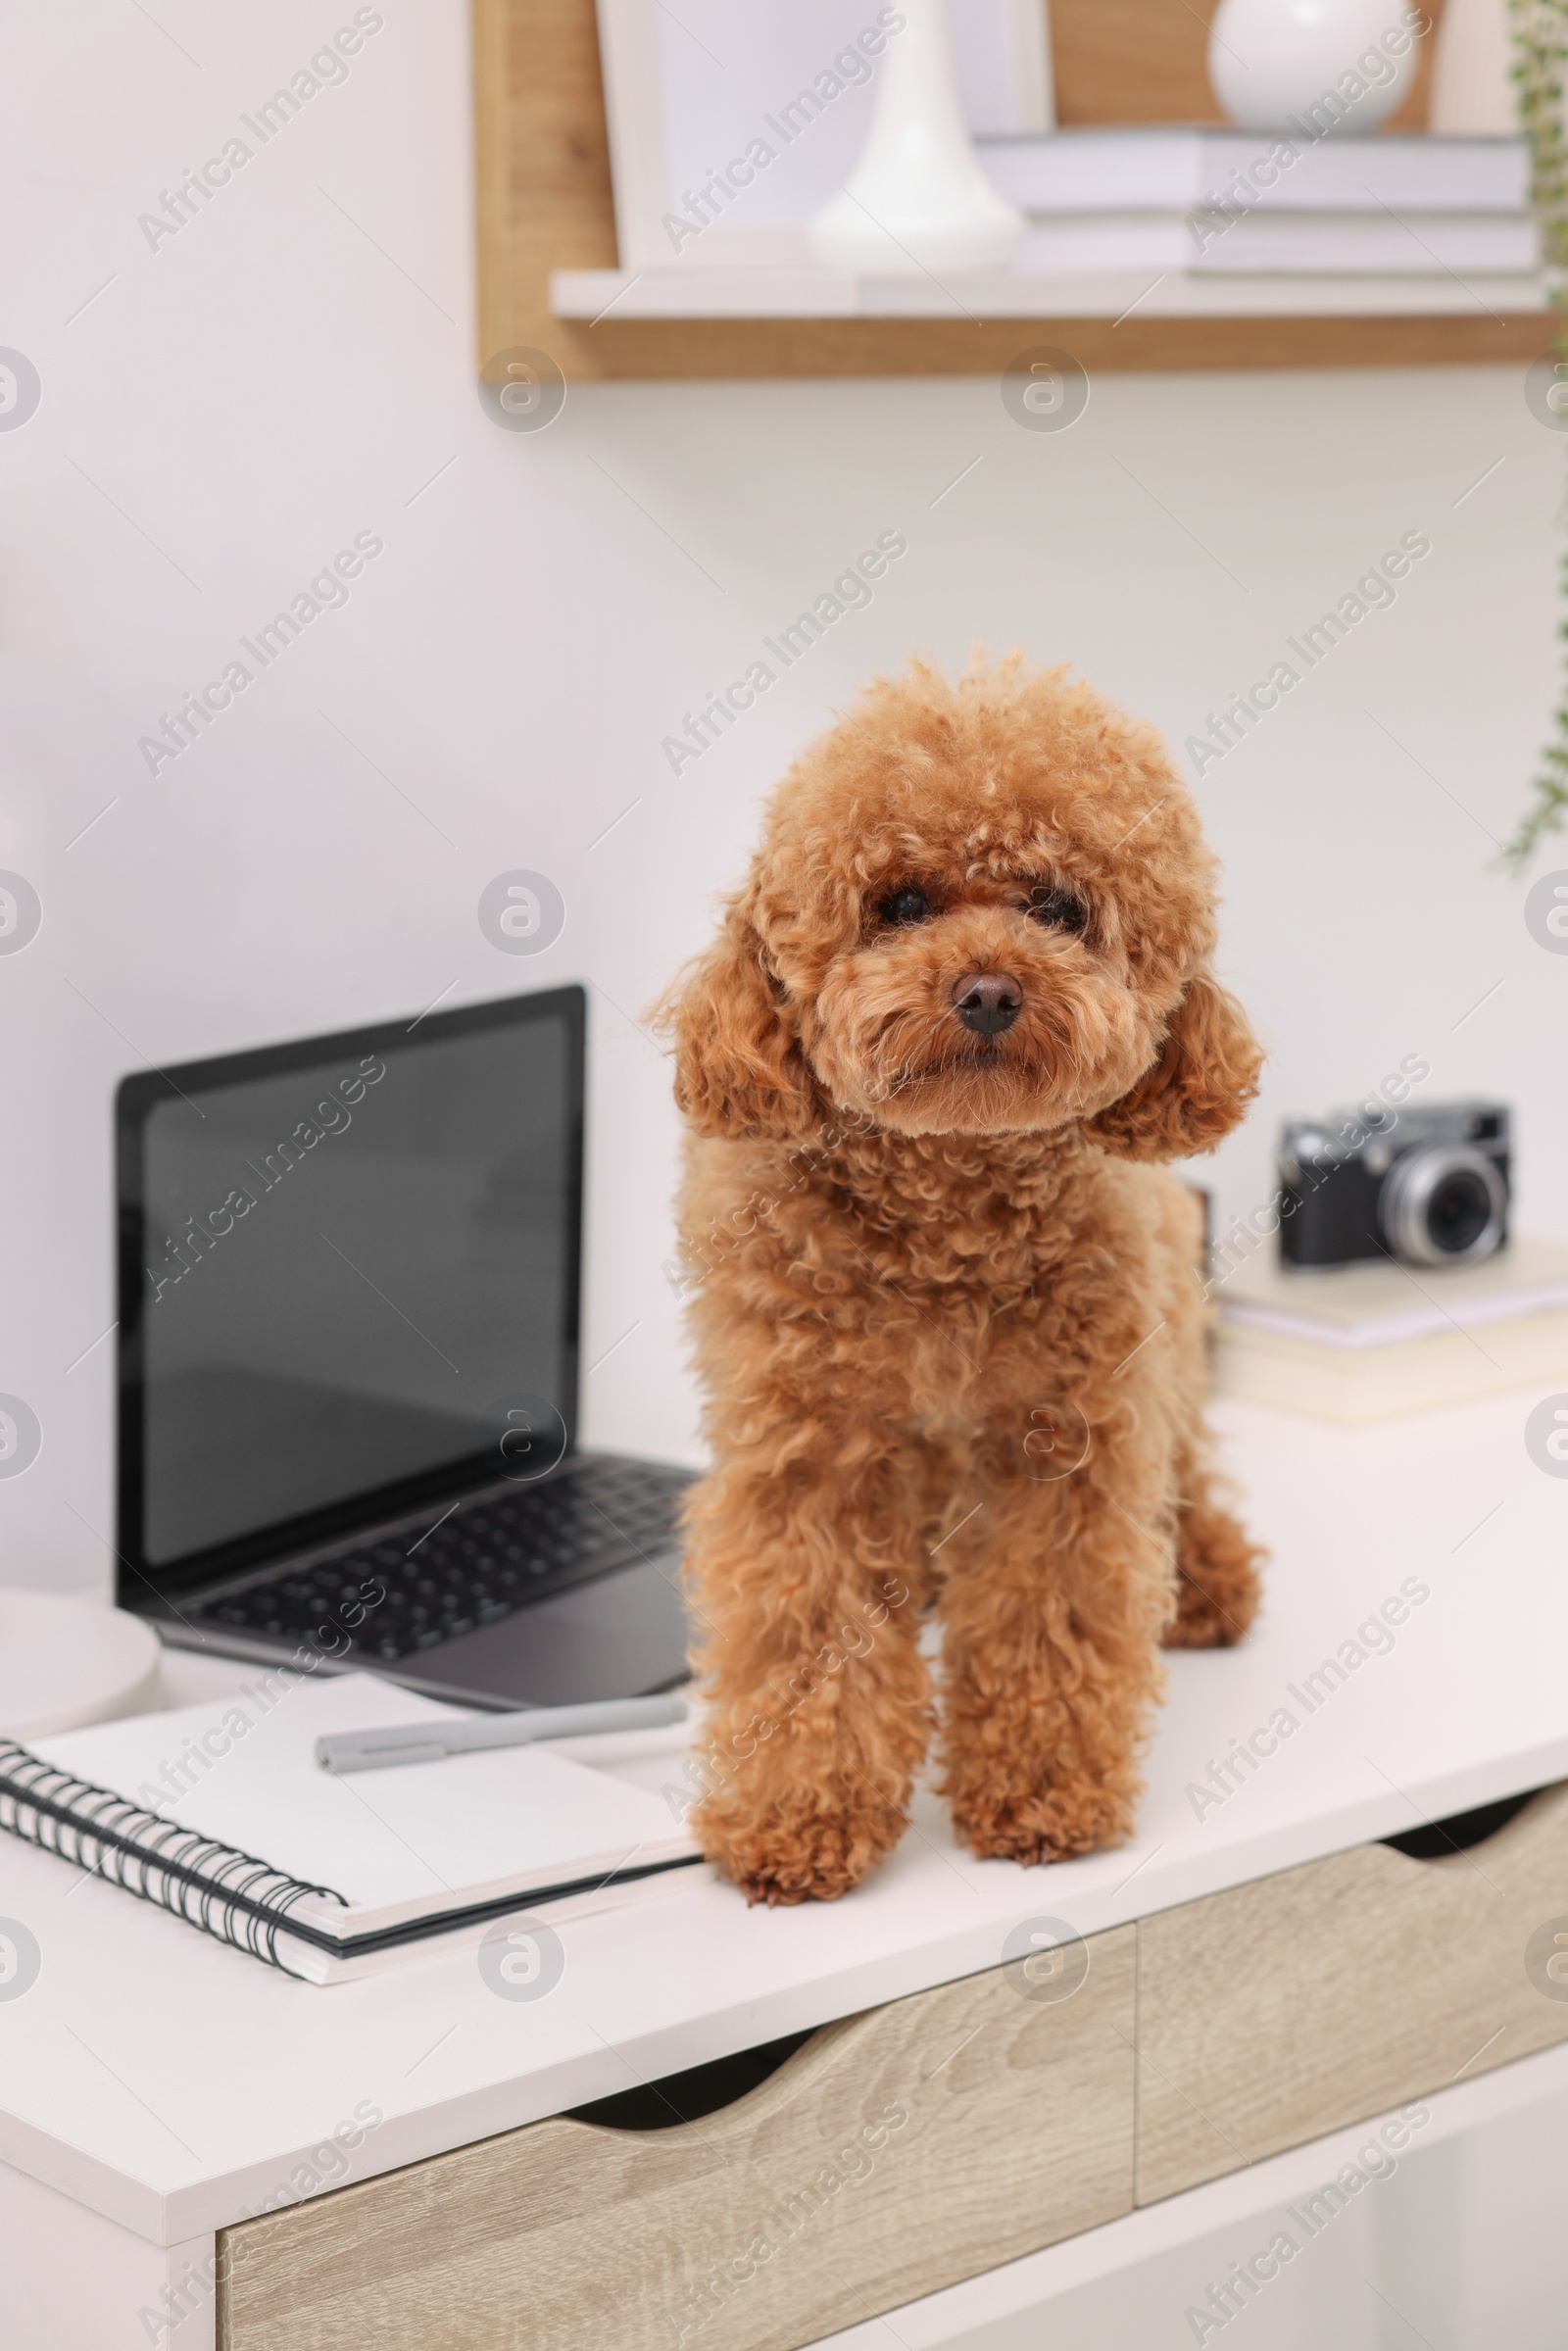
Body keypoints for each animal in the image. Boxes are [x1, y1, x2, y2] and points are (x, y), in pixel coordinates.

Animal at [662, 653, 1259, 1899]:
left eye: (1057, 908)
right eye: (897, 905)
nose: (987, 989)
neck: (945, 1210)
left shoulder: (1065, 1439)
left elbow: (1047, 1616)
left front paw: (1042, 1793)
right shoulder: (808, 1451)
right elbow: (809, 1637)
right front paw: (797, 1814)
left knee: (1184, 1460)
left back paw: (1205, 1578)